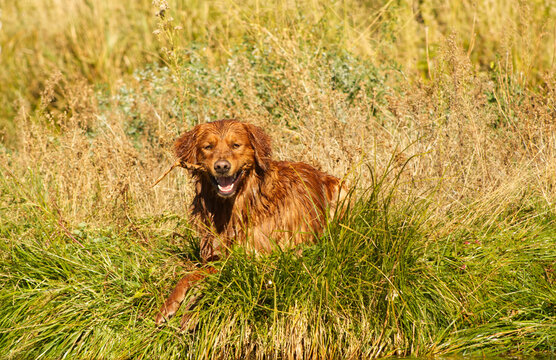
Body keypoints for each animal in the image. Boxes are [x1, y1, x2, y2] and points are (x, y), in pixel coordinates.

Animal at [155, 120, 344, 326]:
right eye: (208, 147)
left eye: (236, 145)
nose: (222, 166)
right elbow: (190, 275)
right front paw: (168, 306)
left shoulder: (266, 259)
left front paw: (194, 312)